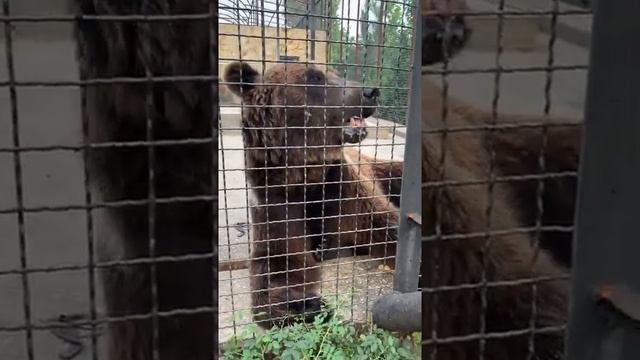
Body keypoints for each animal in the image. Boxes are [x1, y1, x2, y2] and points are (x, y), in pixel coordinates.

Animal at [225, 62, 402, 330]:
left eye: (334, 73)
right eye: (315, 77)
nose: (370, 92)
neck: (305, 177)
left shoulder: (340, 187)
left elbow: (386, 222)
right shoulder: (276, 200)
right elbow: (277, 262)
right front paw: (302, 303)